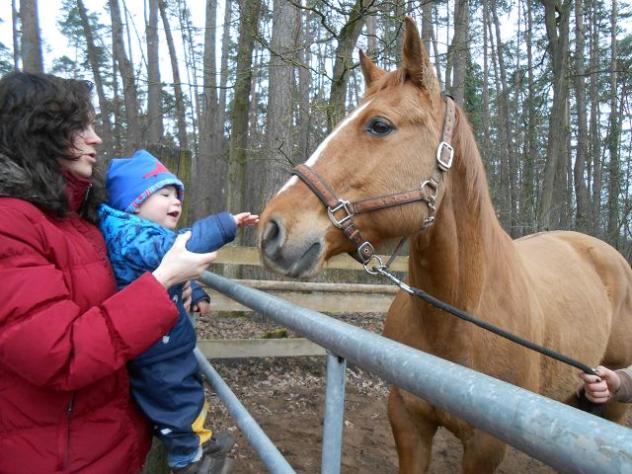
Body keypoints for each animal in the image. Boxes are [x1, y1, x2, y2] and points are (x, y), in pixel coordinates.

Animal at [256, 16, 632, 472]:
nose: (272, 228)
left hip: (613, 402)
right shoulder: (407, 419)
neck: (460, 313)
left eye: (379, 125)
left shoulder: (485, 446)